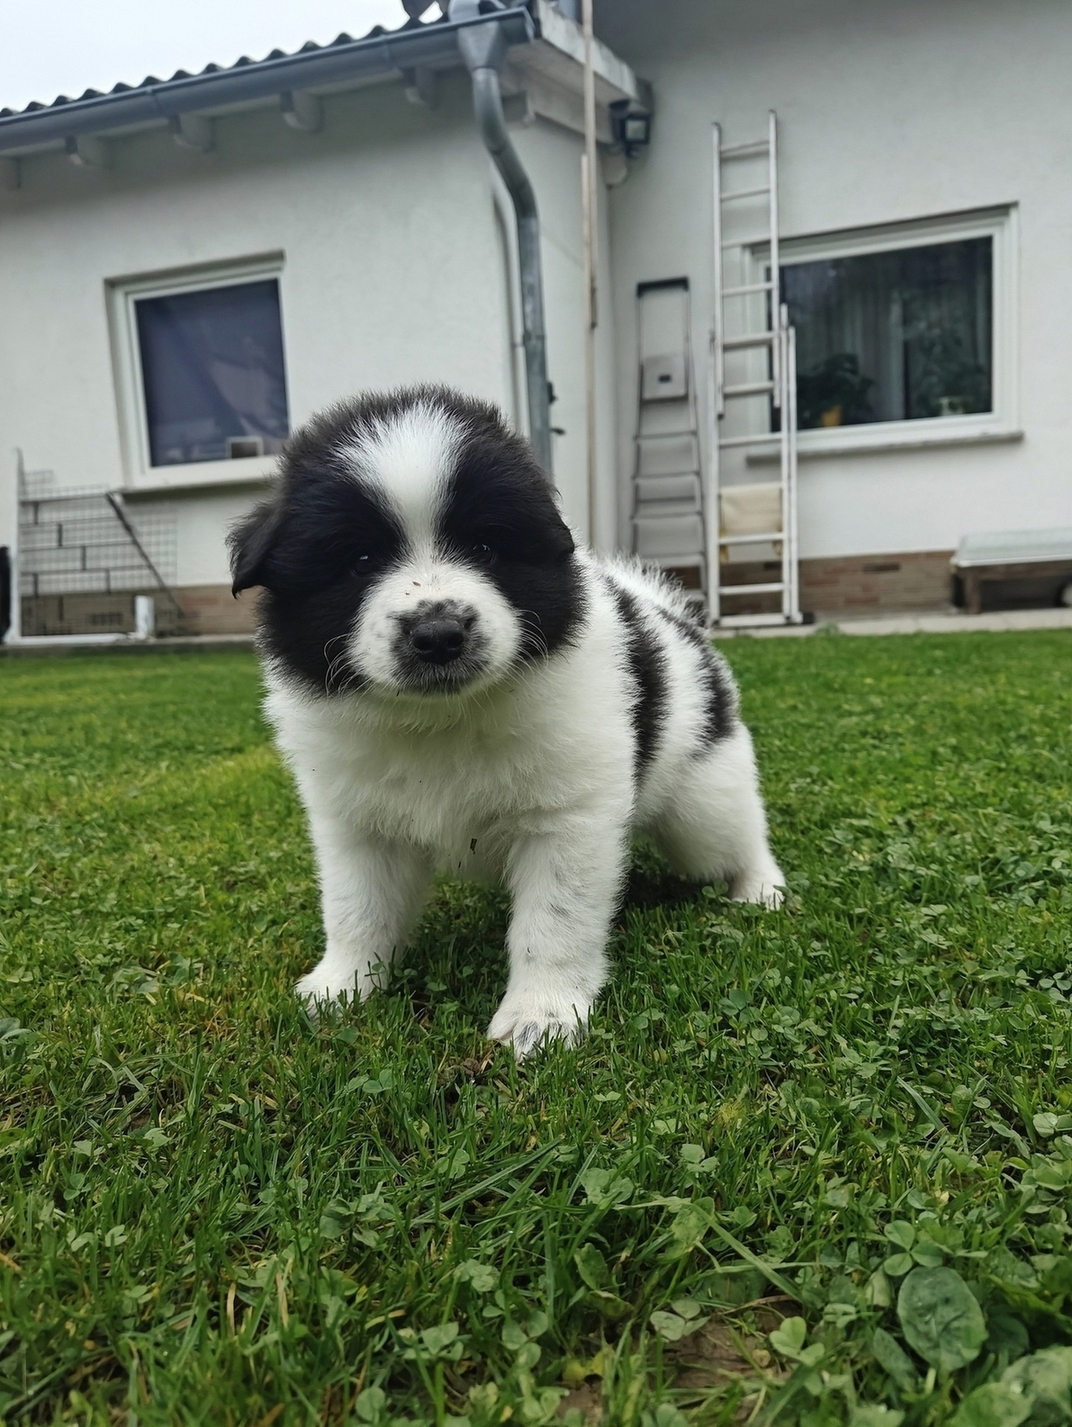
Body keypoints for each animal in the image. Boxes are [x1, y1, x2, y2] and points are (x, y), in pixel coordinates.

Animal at [229, 386, 783, 1057]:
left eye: (487, 549)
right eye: (358, 561)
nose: (438, 634)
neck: (438, 719)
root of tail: (670, 618)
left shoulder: (567, 820)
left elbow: (554, 923)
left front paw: (541, 1016)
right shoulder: (355, 825)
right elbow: (357, 908)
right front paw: (342, 986)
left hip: (701, 795)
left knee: (736, 834)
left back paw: (760, 887)